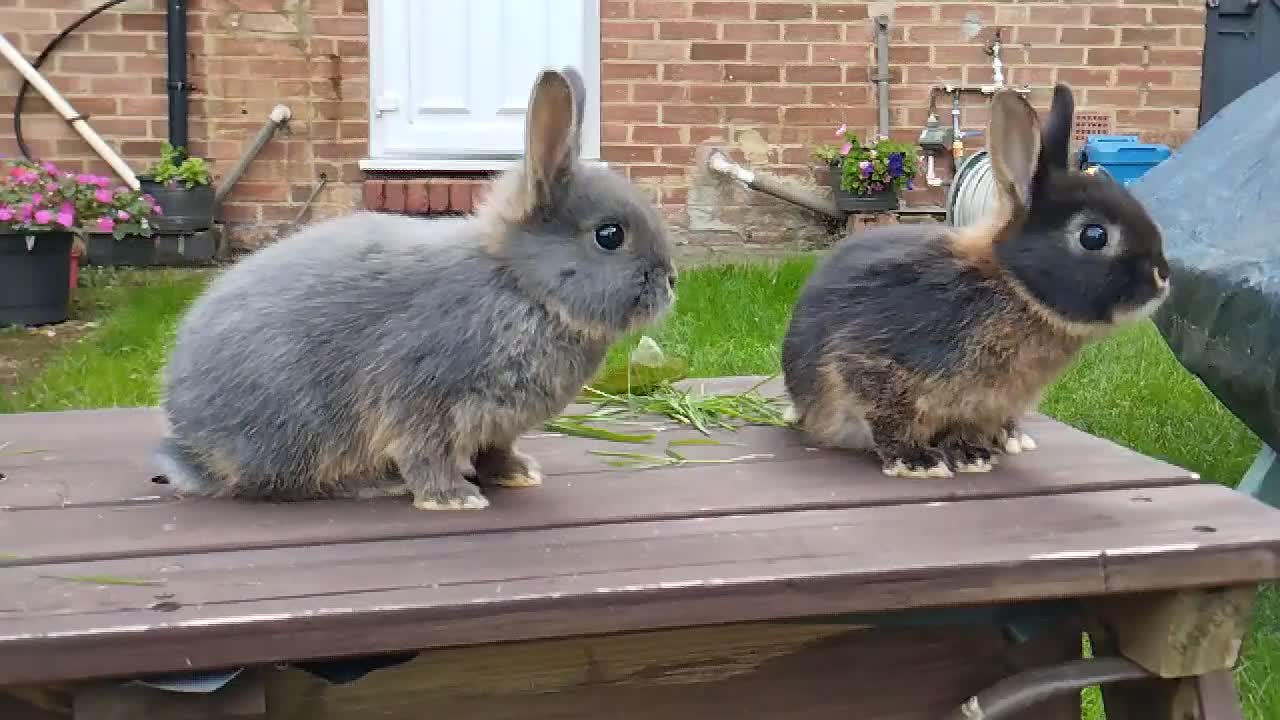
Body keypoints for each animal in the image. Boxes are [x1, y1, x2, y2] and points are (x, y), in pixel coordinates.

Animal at [153, 66, 677, 510]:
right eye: (609, 236)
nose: (671, 281)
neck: (521, 286)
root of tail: (193, 447)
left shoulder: (496, 425)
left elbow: (494, 450)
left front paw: (516, 474)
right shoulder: (422, 398)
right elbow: (425, 452)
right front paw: (453, 498)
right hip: (301, 425)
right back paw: (379, 483)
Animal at [780, 84, 1170, 479]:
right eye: (1093, 236)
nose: (1162, 277)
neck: (1012, 287)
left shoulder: (983, 404)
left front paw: (972, 457)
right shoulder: (874, 363)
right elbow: (888, 416)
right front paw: (917, 462)